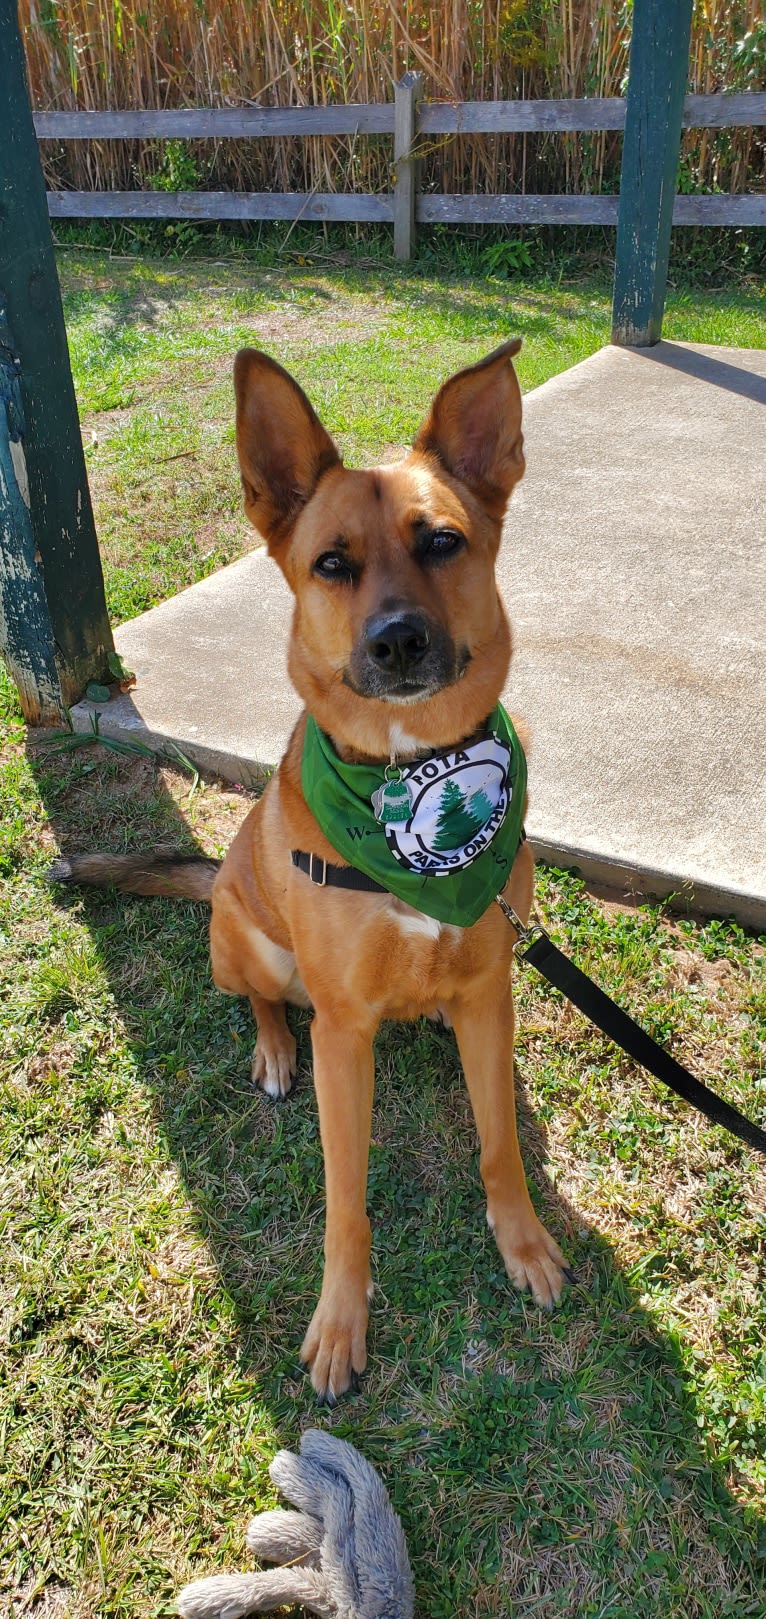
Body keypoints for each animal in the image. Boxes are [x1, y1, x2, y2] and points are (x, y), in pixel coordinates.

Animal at [55, 344, 566, 1405]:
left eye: (443, 542)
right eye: (331, 563)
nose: (398, 641)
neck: (409, 781)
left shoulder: (488, 991)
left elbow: (498, 1143)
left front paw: (522, 1240)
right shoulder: (343, 1031)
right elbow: (345, 1197)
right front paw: (341, 1319)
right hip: (248, 946)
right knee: (258, 998)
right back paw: (271, 1051)